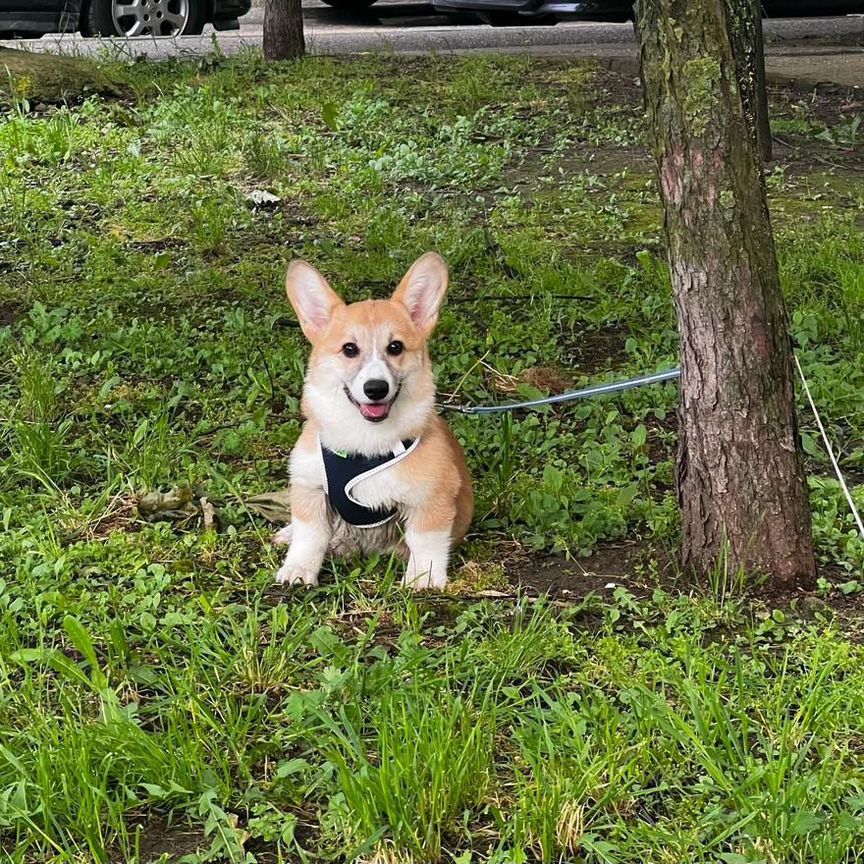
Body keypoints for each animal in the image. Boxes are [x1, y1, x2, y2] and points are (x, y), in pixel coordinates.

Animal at [276, 250, 472, 588]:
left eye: (395, 347)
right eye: (349, 349)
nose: (376, 388)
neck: (365, 442)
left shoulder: (431, 500)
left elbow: (425, 543)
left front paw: (423, 578)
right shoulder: (309, 487)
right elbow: (310, 536)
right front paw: (299, 569)